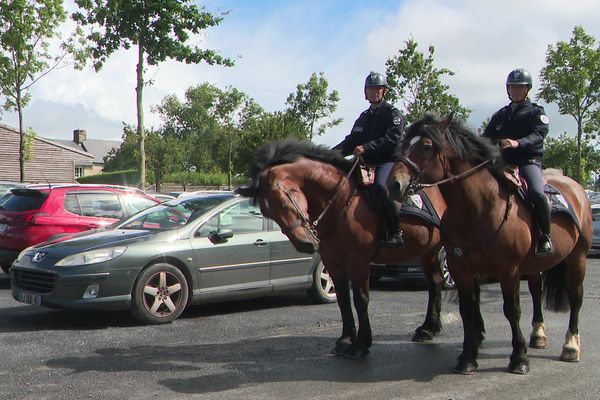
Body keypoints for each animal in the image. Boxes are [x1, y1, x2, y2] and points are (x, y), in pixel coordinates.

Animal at [237, 139, 458, 358]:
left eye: (284, 200)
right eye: (267, 212)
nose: (304, 244)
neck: (342, 204)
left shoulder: (358, 261)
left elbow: (360, 300)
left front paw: (361, 344)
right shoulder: (333, 262)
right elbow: (343, 300)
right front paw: (345, 340)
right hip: (428, 251)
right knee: (436, 282)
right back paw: (428, 328)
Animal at [386, 113, 592, 376]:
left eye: (427, 146)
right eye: (404, 144)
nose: (394, 184)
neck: (482, 207)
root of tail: (575, 186)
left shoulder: (508, 270)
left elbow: (512, 310)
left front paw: (519, 358)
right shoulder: (462, 270)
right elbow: (467, 310)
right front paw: (467, 358)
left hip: (578, 257)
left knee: (576, 296)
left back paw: (571, 346)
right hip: (534, 265)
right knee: (536, 291)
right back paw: (538, 335)